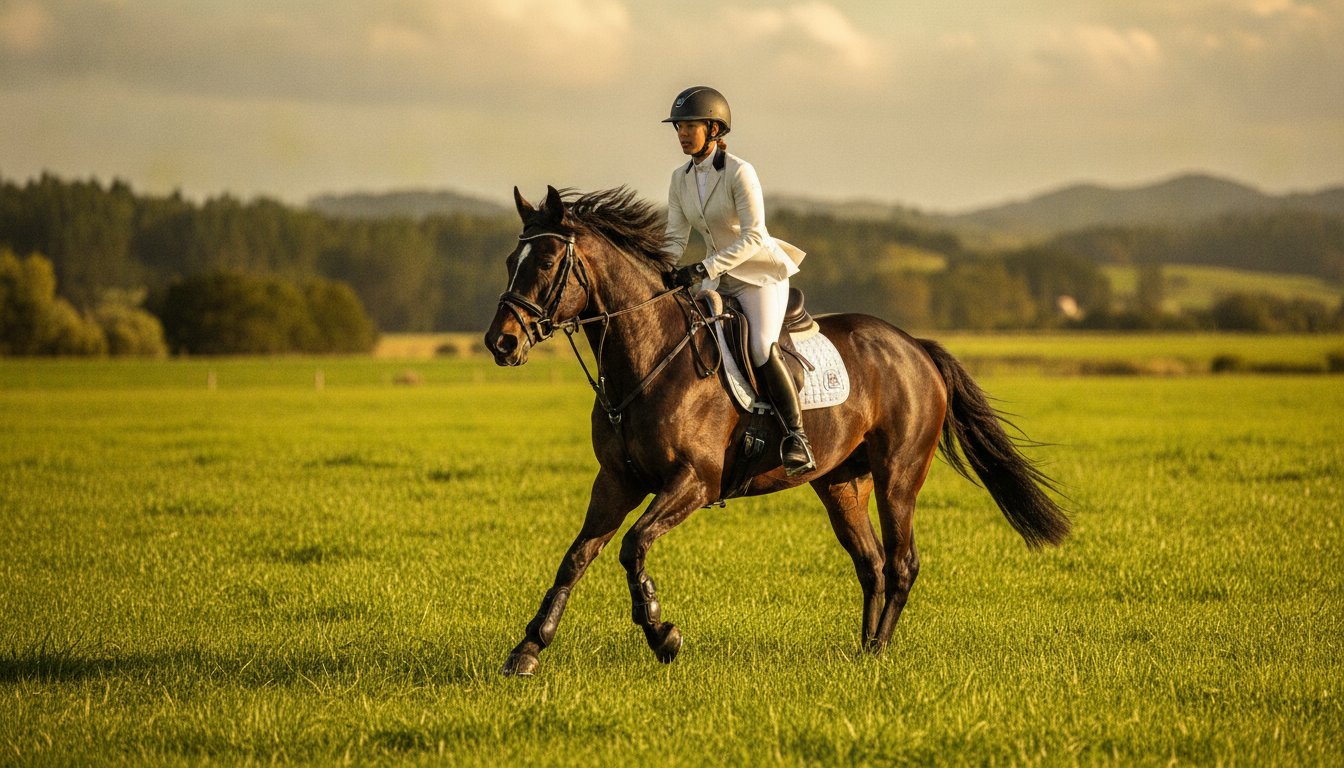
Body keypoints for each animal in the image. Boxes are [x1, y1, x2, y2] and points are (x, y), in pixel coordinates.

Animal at [485, 185, 1069, 676]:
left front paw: (662, 634)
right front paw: (528, 649)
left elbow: (633, 546)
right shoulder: (615, 481)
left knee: (902, 563)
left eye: (547, 261)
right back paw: (863, 650)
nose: (501, 343)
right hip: (841, 482)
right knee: (873, 564)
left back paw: (879, 652)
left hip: (899, 475)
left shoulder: (695, 481)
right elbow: (575, 558)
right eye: (511, 262)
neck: (648, 357)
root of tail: (914, 346)